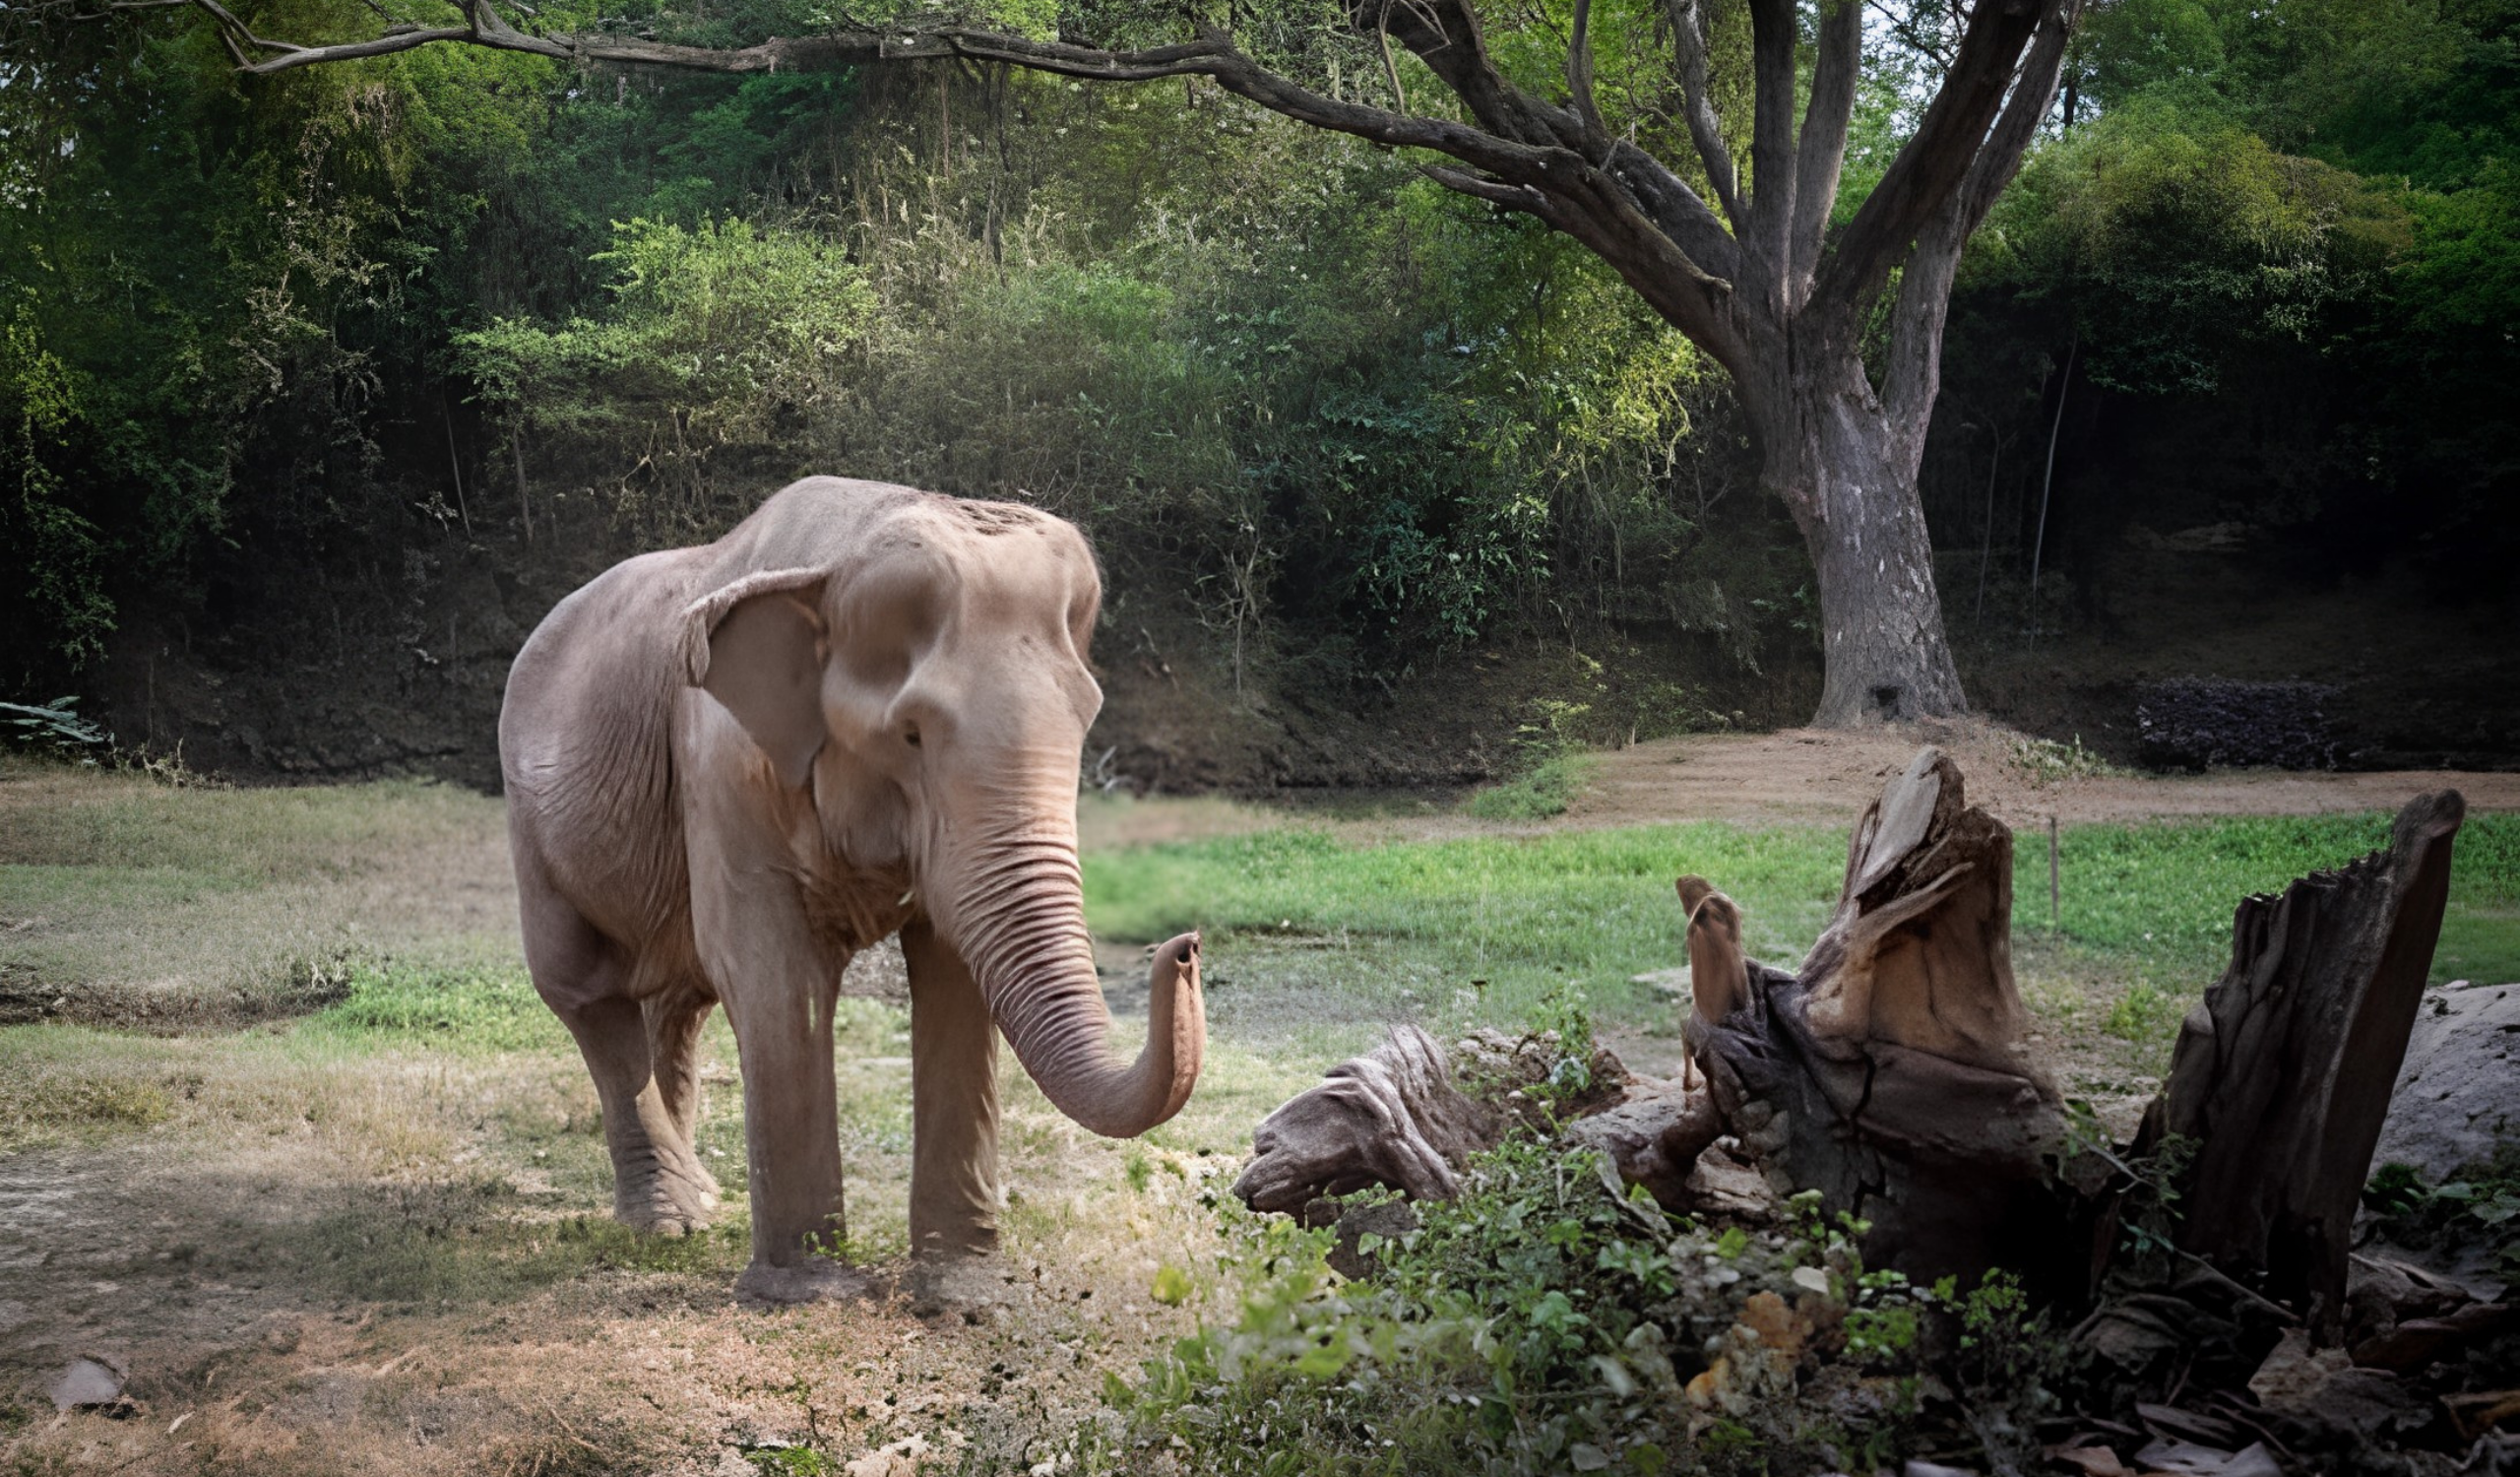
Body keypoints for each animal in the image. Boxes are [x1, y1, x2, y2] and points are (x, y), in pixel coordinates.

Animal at [498, 476, 1205, 1303]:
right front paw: (808, 1291)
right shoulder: (722, 766)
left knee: (675, 1003)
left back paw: (700, 1200)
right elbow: (771, 970)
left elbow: (954, 969)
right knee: (586, 993)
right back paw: (670, 1223)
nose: (1186, 948)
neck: (841, 554)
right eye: (910, 735)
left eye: (1088, 718)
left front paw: (962, 1287)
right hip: (531, 824)